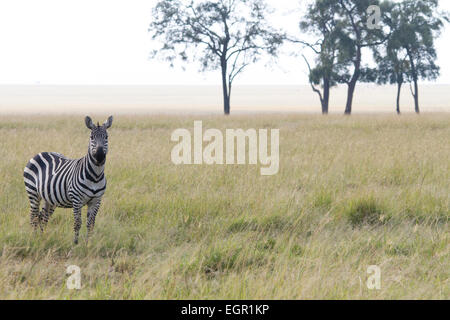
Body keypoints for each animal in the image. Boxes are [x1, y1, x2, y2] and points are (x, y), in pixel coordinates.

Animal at [23, 116, 113, 244]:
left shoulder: (96, 200)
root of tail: (41, 153)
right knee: (34, 216)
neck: (95, 176)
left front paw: (88, 244)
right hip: (33, 193)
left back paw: (42, 237)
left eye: (106, 137)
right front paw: (75, 243)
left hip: (50, 199)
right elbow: (77, 223)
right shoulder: (77, 199)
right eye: (91, 137)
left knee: (43, 216)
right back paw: (34, 238)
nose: (99, 156)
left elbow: (90, 224)